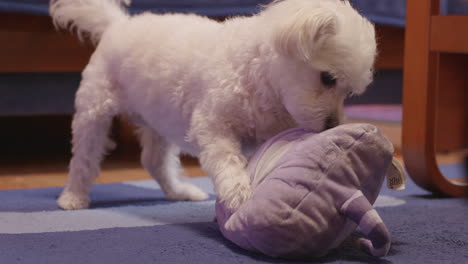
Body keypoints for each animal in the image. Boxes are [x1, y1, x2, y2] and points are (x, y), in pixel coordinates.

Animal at [49, 0, 376, 210]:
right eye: (327, 78)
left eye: (350, 92)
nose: (332, 125)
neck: (260, 76)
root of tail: (119, 25)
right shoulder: (212, 125)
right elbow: (228, 160)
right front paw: (237, 192)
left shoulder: (268, 133)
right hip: (94, 111)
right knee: (84, 159)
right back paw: (73, 198)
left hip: (159, 118)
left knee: (154, 161)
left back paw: (181, 191)